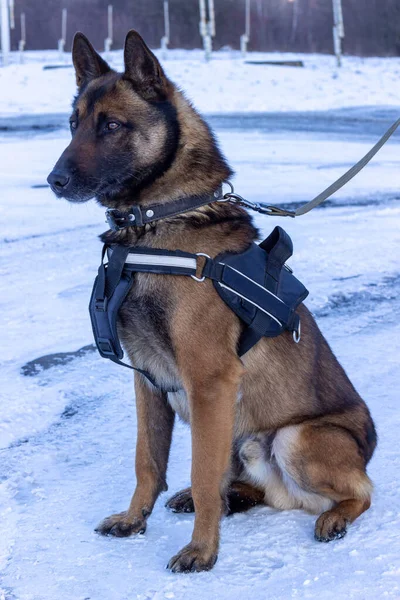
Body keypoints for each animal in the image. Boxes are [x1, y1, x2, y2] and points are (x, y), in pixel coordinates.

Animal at [48, 30, 376, 576]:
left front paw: (203, 550)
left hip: (291, 438)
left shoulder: (208, 381)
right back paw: (230, 498)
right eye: (73, 125)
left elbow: (203, 474)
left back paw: (333, 516)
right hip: (239, 435)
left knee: (363, 492)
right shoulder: (148, 381)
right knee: (248, 487)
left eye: (111, 125)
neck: (157, 225)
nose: (54, 180)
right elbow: (147, 461)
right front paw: (135, 520)